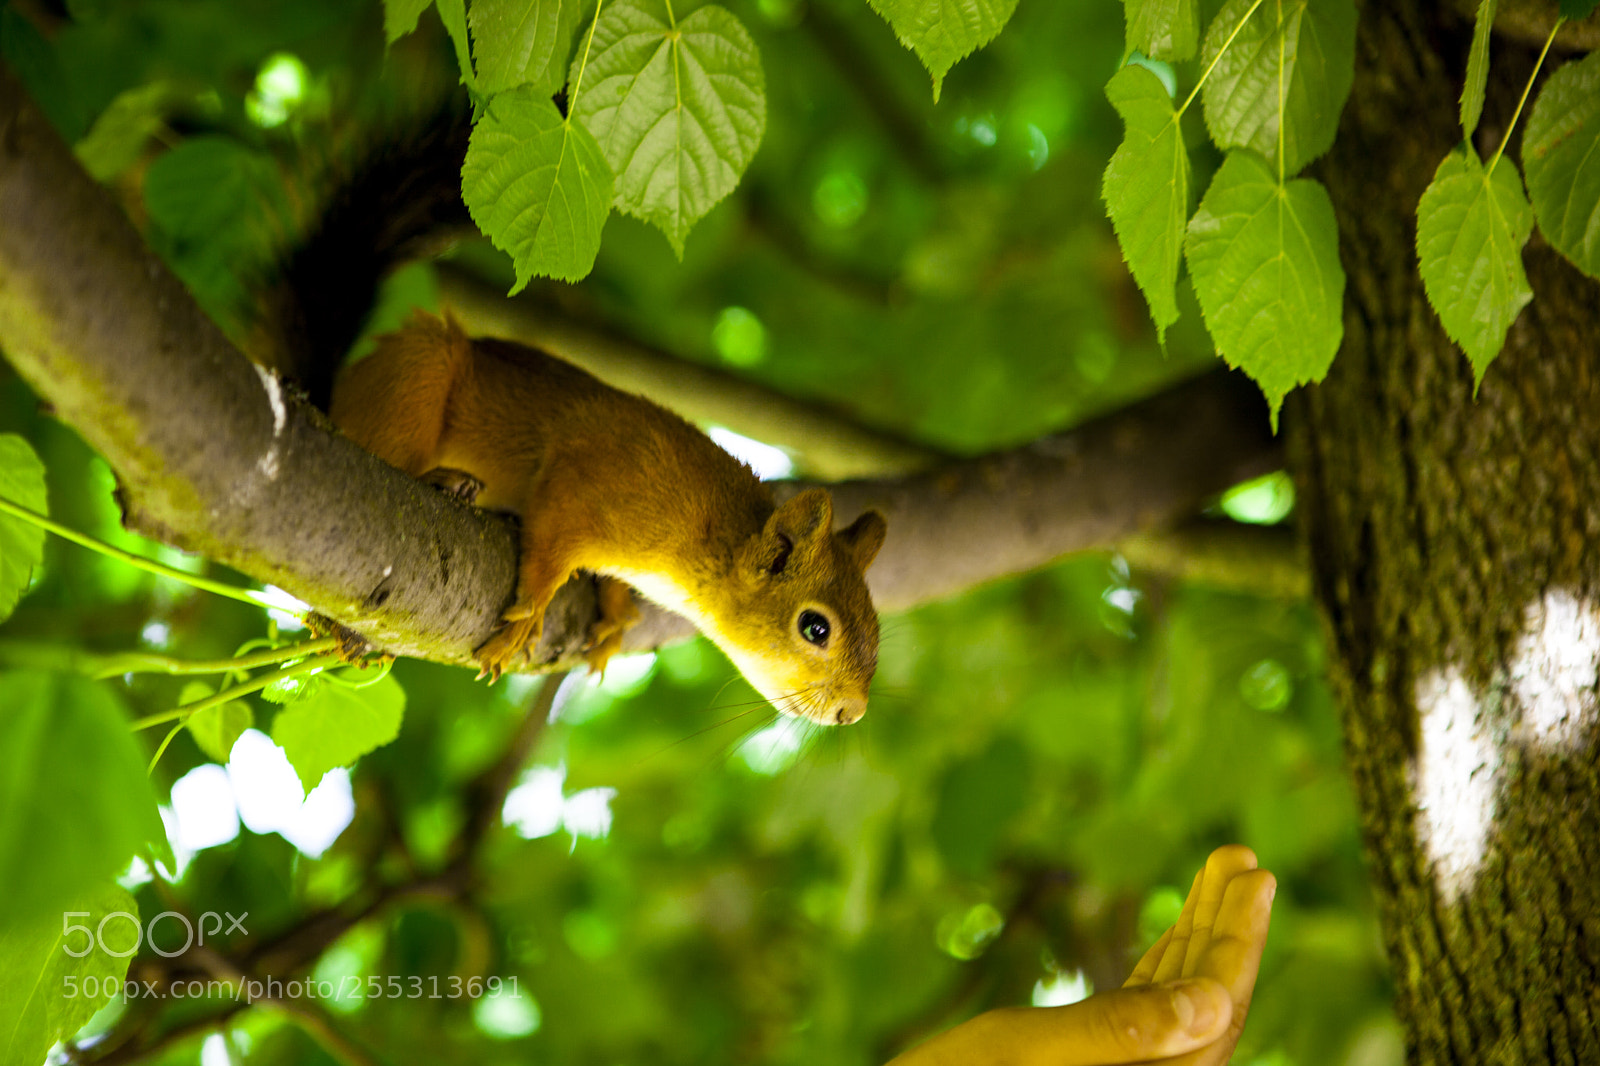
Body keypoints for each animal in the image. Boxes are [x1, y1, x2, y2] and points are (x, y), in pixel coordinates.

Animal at [258, 100, 888, 726]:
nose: (853, 711)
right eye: (815, 627)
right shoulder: (593, 484)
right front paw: (531, 613)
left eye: (877, 623)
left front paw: (614, 614)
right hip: (417, 374)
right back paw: (441, 478)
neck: (709, 527)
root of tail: (329, 394)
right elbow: (552, 546)